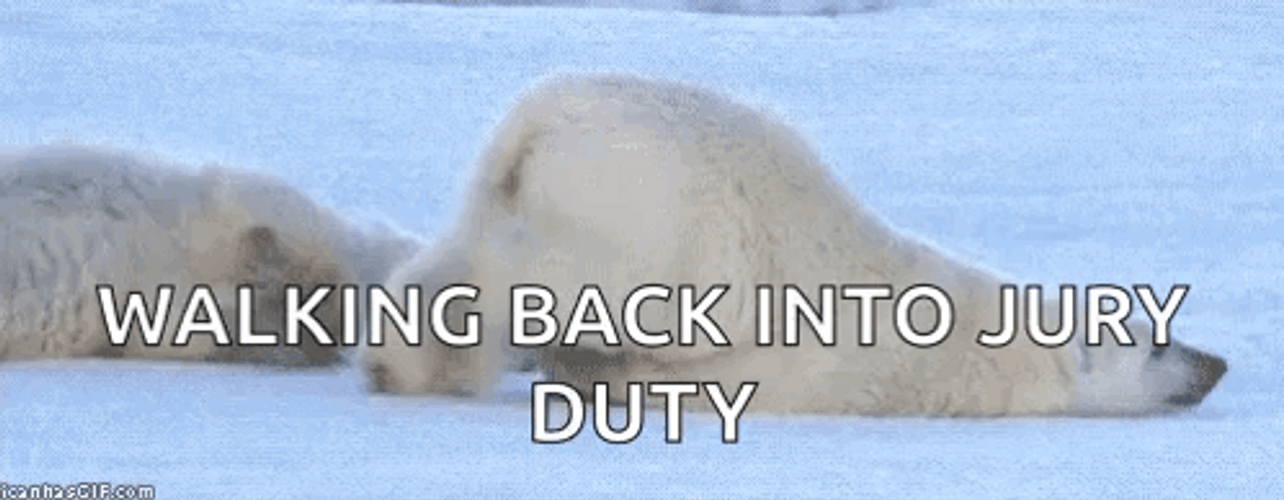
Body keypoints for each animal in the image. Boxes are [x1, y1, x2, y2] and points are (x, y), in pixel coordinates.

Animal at [365, 73, 1227, 416]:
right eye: (1155, 342)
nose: (1217, 363)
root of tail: (539, 122)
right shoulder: (828, 368)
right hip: (656, 220)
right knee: (536, 280)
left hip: (512, 185)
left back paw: (400, 362)